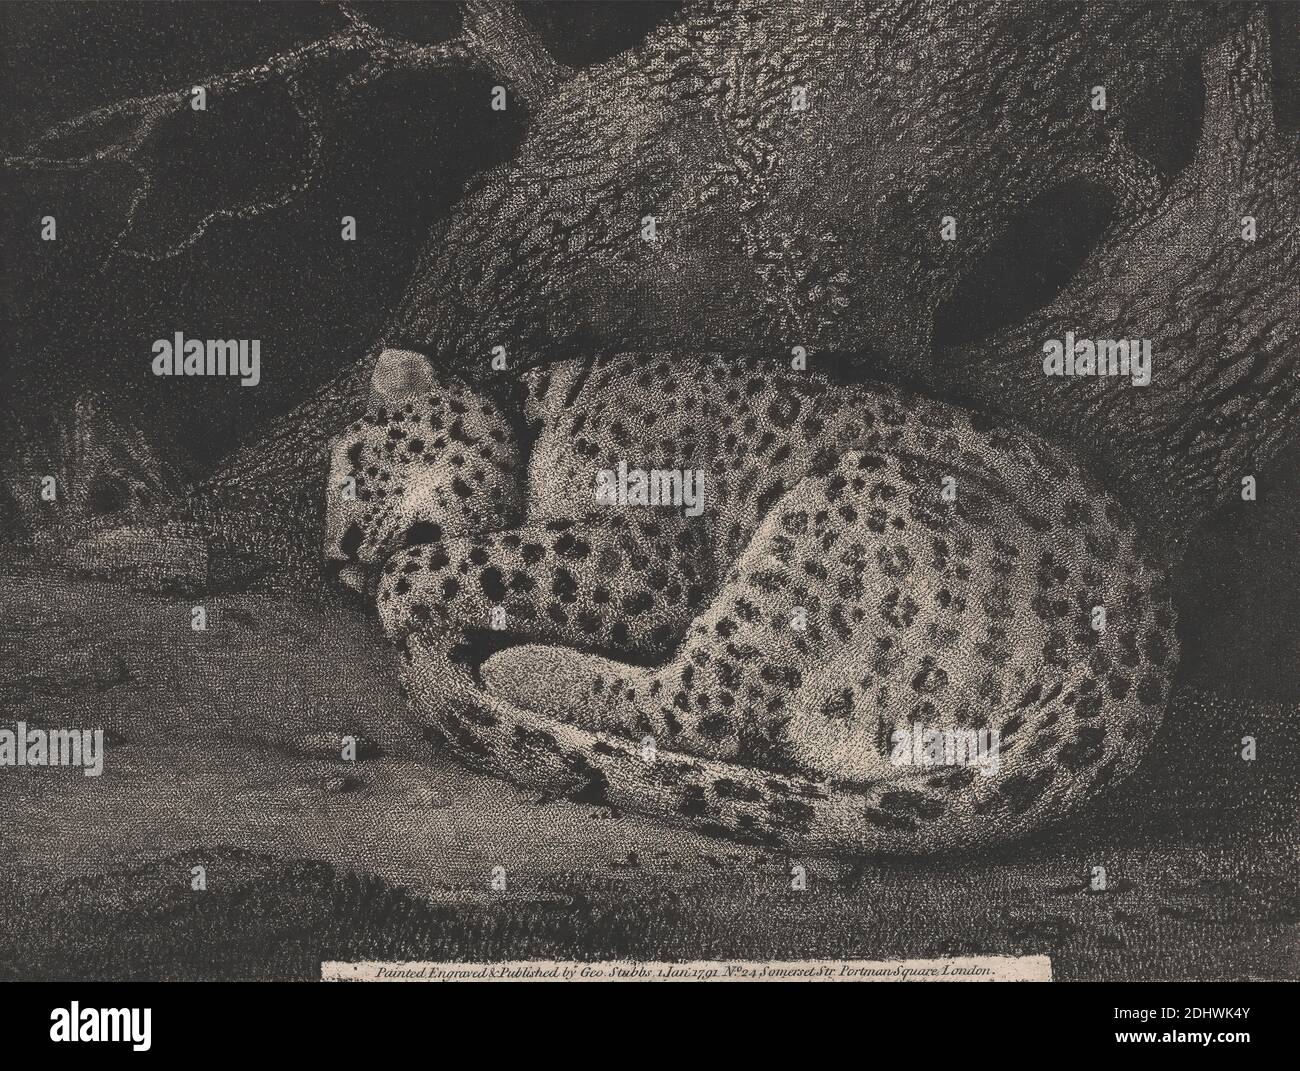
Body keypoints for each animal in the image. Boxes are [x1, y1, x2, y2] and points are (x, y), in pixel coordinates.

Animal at [323, 347, 1177, 855]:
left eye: (355, 465)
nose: (337, 561)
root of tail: (1134, 662)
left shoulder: (646, 554)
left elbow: (484, 558)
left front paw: (403, 594)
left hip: (839, 505)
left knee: (702, 704)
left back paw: (516, 668)